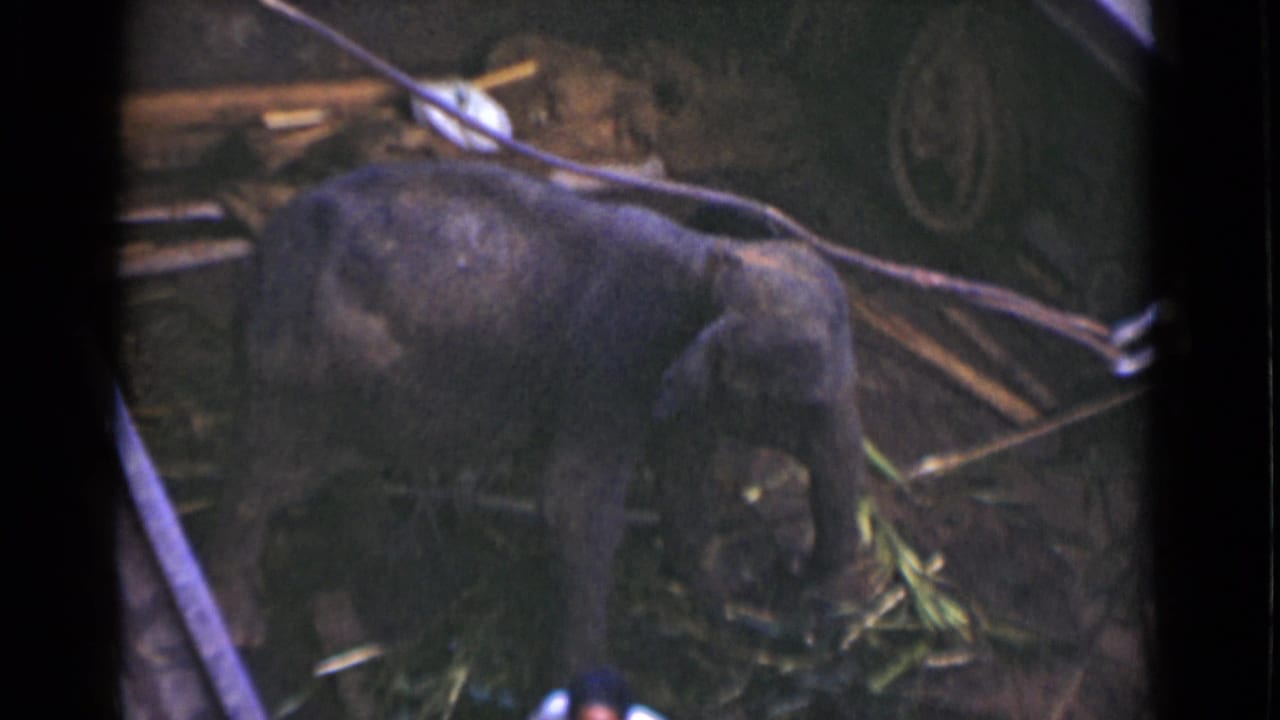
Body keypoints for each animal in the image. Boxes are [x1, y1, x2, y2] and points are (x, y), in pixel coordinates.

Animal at [208, 160, 864, 677]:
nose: (794, 568)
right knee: (270, 476)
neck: (706, 261)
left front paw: (720, 598)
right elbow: (577, 506)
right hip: (304, 375)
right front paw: (587, 674)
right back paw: (243, 624)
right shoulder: (612, 363)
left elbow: (683, 481)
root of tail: (262, 257)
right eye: (800, 406)